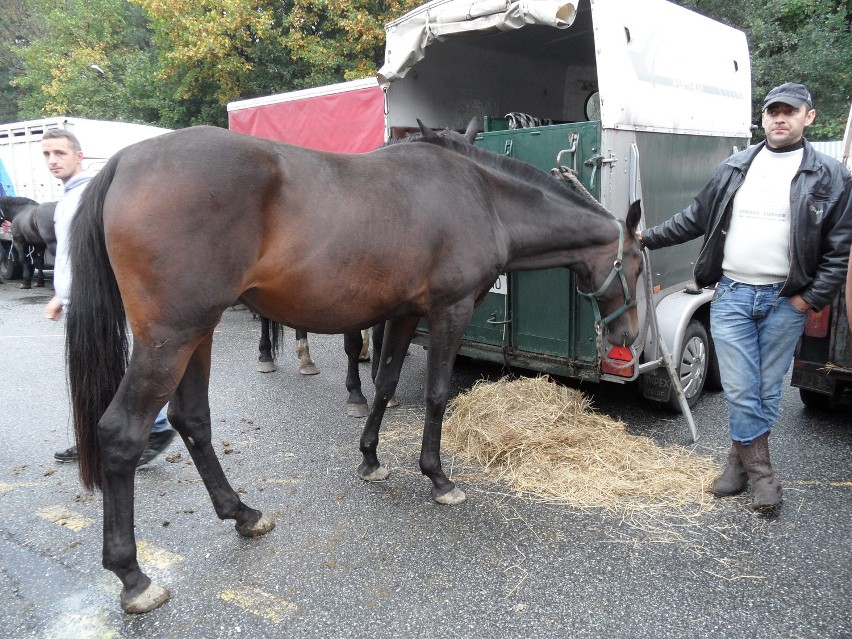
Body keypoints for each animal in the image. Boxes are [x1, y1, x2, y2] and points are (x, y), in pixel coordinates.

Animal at [63, 121, 644, 616]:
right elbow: (436, 394)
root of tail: (124, 162)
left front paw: (370, 458)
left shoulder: (405, 313)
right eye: (637, 265)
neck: (479, 196)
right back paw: (133, 577)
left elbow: (385, 384)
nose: (628, 339)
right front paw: (438, 477)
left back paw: (243, 514)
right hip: (170, 339)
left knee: (192, 421)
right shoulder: (449, 310)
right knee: (122, 433)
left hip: (195, 336)